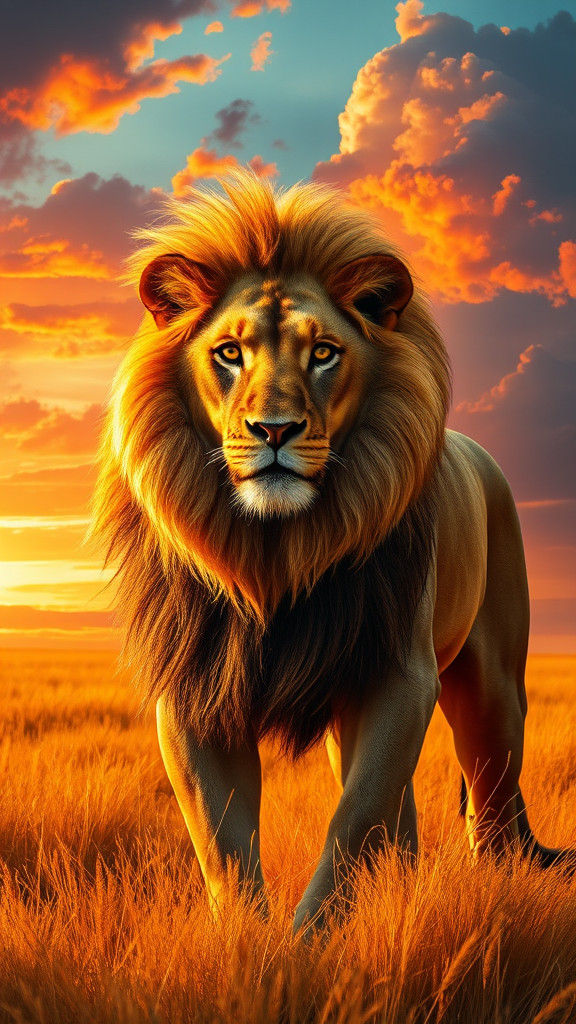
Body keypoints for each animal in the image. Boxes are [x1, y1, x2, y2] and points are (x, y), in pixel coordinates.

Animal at [93, 169, 572, 933]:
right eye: (229, 353)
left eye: (323, 353)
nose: (274, 430)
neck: (275, 552)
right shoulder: (197, 688)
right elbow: (225, 843)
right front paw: (251, 950)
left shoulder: (398, 673)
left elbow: (354, 821)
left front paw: (310, 945)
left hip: (492, 687)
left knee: (492, 811)